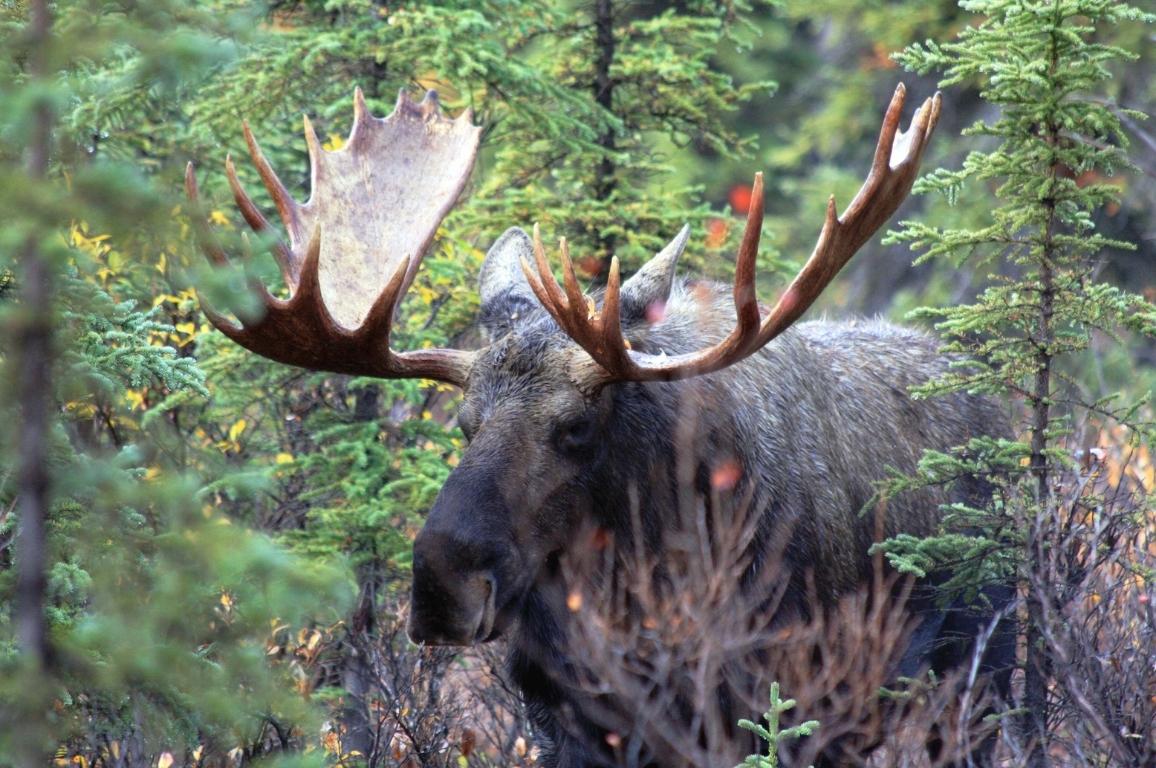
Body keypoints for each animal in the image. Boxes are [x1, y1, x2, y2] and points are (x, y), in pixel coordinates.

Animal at [185, 84, 1014, 767]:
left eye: (578, 426)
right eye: (463, 423)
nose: (442, 584)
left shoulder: (770, 700)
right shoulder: (563, 716)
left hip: (980, 675)